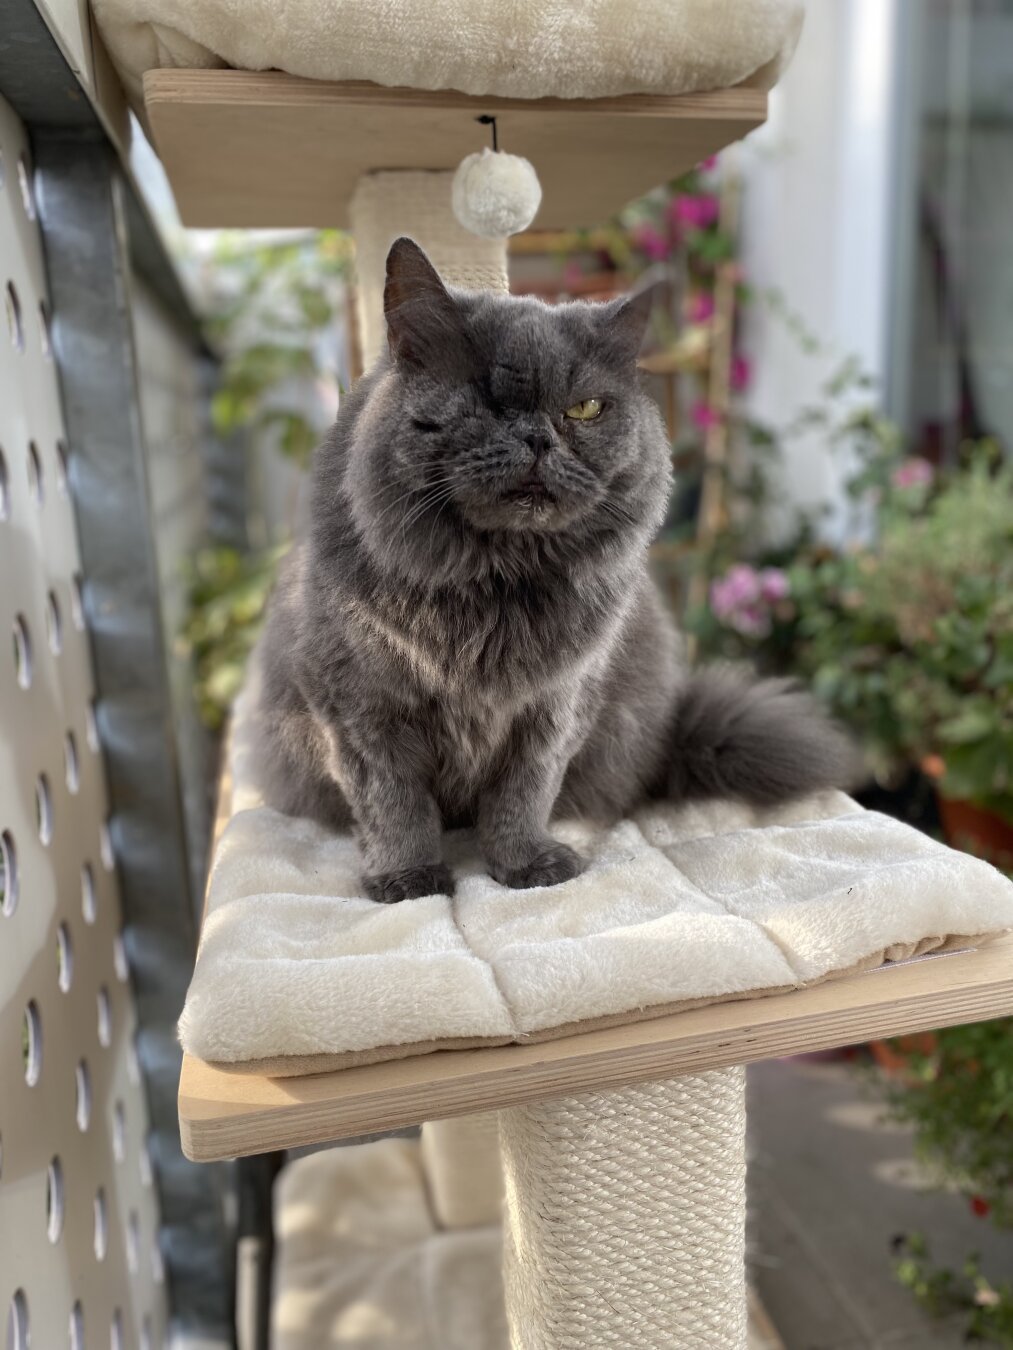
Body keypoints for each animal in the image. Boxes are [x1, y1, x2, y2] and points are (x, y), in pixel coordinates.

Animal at [253, 237, 859, 901]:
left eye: (585, 408)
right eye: (486, 399)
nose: (539, 438)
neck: (494, 584)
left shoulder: (557, 705)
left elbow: (523, 794)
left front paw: (527, 867)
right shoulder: (358, 708)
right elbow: (395, 803)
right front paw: (409, 879)